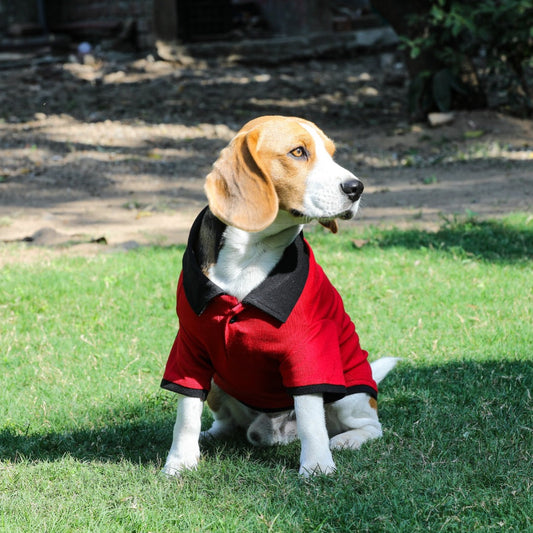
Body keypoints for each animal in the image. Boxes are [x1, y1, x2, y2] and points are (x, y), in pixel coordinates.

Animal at [160, 115, 396, 474]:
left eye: (331, 153)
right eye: (298, 152)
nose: (357, 188)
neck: (250, 253)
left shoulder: (308, 350)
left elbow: (311, 418)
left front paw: (317, 467)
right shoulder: (191, 347)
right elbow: (186, 411)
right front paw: (180, 462)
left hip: (348, 395)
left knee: (370, 426)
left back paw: (346, 440)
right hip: (217, 383)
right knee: (227, 423)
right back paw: (211, 435)